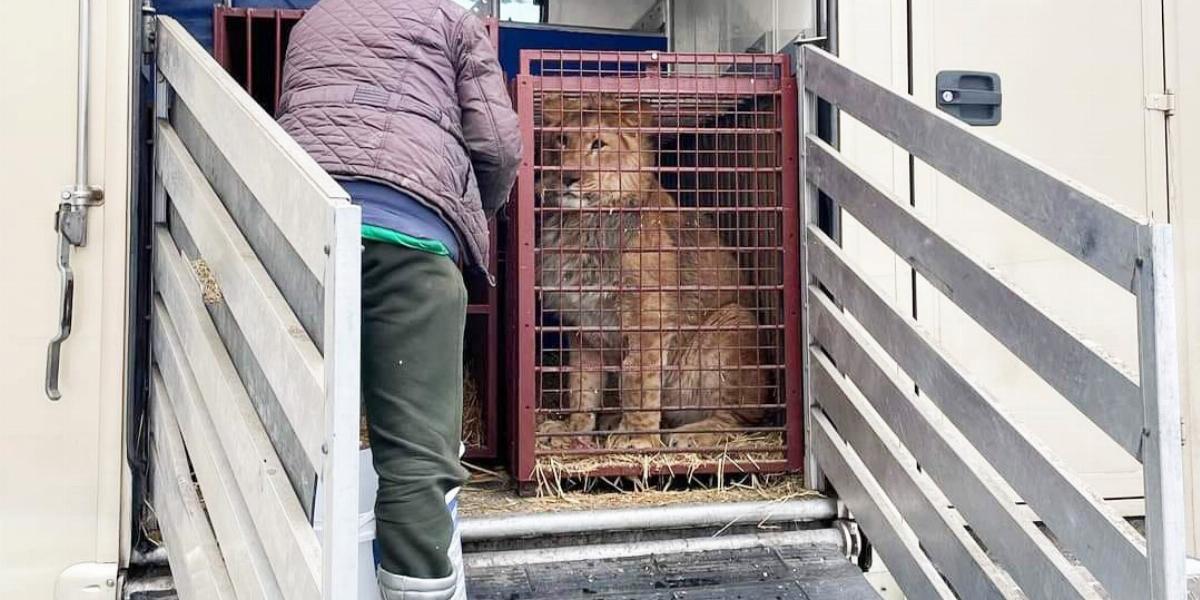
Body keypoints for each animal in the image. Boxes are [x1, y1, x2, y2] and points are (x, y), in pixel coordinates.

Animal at [537, 94, 763, 451]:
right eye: (561, 140)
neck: (581, 225)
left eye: (598, 144)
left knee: (739, 419)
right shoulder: (583, 326)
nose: (568, 176)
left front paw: (638, 438)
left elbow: (637, 379)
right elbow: (582, 386)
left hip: (731, 320)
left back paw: (688, 434)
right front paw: (572, 431)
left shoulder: (649, 317)